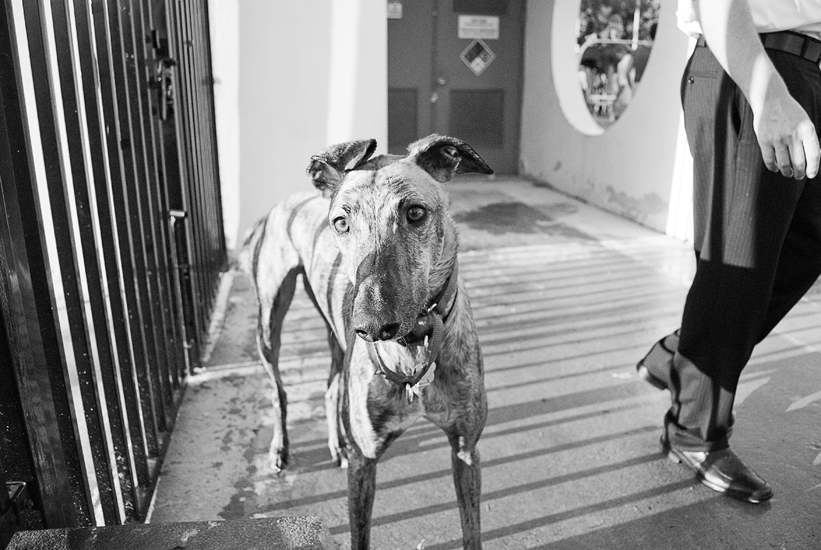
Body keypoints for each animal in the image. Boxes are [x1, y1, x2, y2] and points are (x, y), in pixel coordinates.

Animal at [240, 135, 490, 550]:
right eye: (341, 222)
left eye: (415, 213)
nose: (370, 325)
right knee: (279, 390)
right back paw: (280, 448)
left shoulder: (466, 449)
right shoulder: (365, 462)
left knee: (329, 388)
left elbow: (471, 531)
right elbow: (360, 535)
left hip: (334, 334)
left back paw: (335, 444)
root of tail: (285, 202)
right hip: (270, 319)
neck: (412, 350)